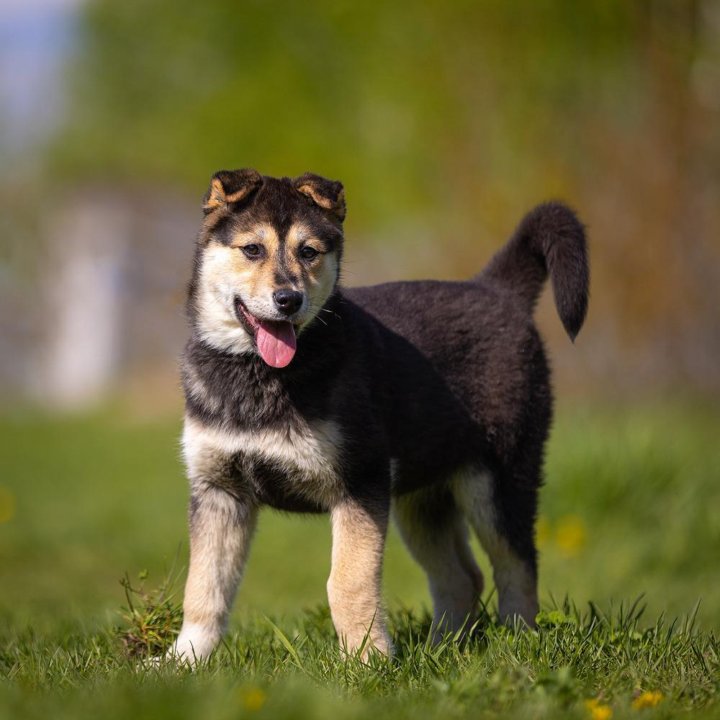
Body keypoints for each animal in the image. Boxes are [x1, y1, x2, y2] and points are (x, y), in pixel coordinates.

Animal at [170, 169, 592, 664]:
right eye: (252, 249)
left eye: (308, 252)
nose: (288, 299)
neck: (257, 373)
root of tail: (498, 289)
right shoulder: (218, 490)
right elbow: (204, 587)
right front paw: (183, 659)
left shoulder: (361, 480)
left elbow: (348, 582)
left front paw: (366, 663)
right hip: (424, 497)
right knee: (462, 577)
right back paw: (441, 649)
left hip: (500, 479)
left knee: (518, 566)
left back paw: (518, 645)